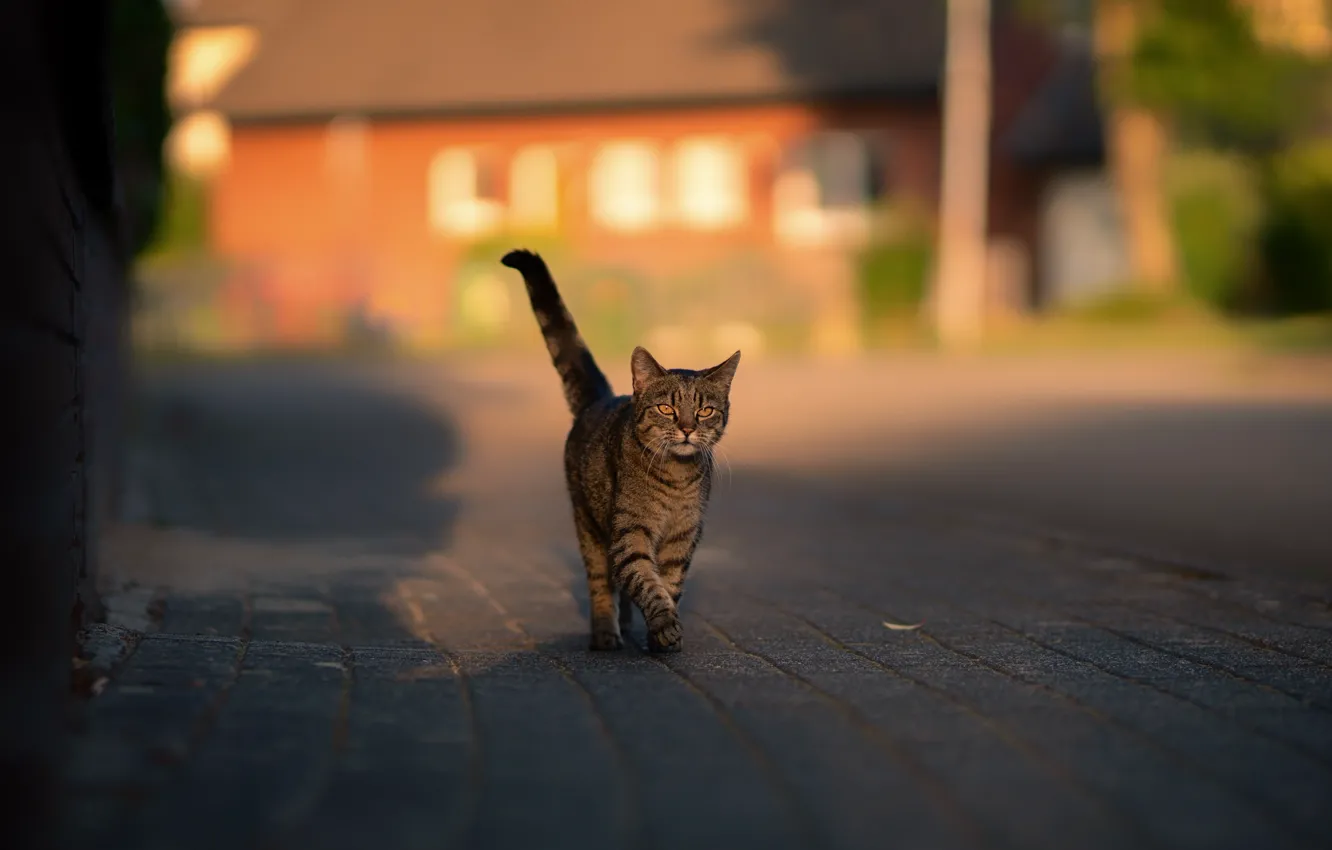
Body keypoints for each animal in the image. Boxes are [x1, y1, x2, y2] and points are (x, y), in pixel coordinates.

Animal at [503, 250, 745, 655]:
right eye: (666, 408)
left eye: (704, 411)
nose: (687, 428)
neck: (677, 477)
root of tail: (600, 398)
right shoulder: (630, 533)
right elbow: (647, 584)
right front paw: (663, 626)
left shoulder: (683, 537)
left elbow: (668, 585)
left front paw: (661, 635)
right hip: (589, 526)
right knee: (602, 583)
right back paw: (606, 634)